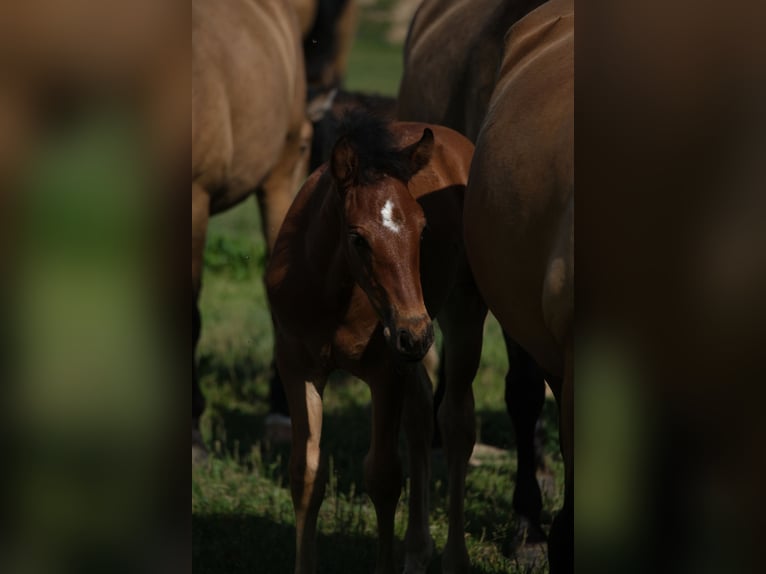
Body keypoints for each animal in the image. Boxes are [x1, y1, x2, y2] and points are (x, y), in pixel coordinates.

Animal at [265, 114, 484, 574]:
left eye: (423, 229)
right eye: (358, 238)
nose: (415, 331)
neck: (331, 296)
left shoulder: (386, 371)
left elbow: (383, 476)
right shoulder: (297, 366)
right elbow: (306, 472)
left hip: (461, 313)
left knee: (456, 422)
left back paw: (454, 558)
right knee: (421, 416)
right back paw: (417, 550)